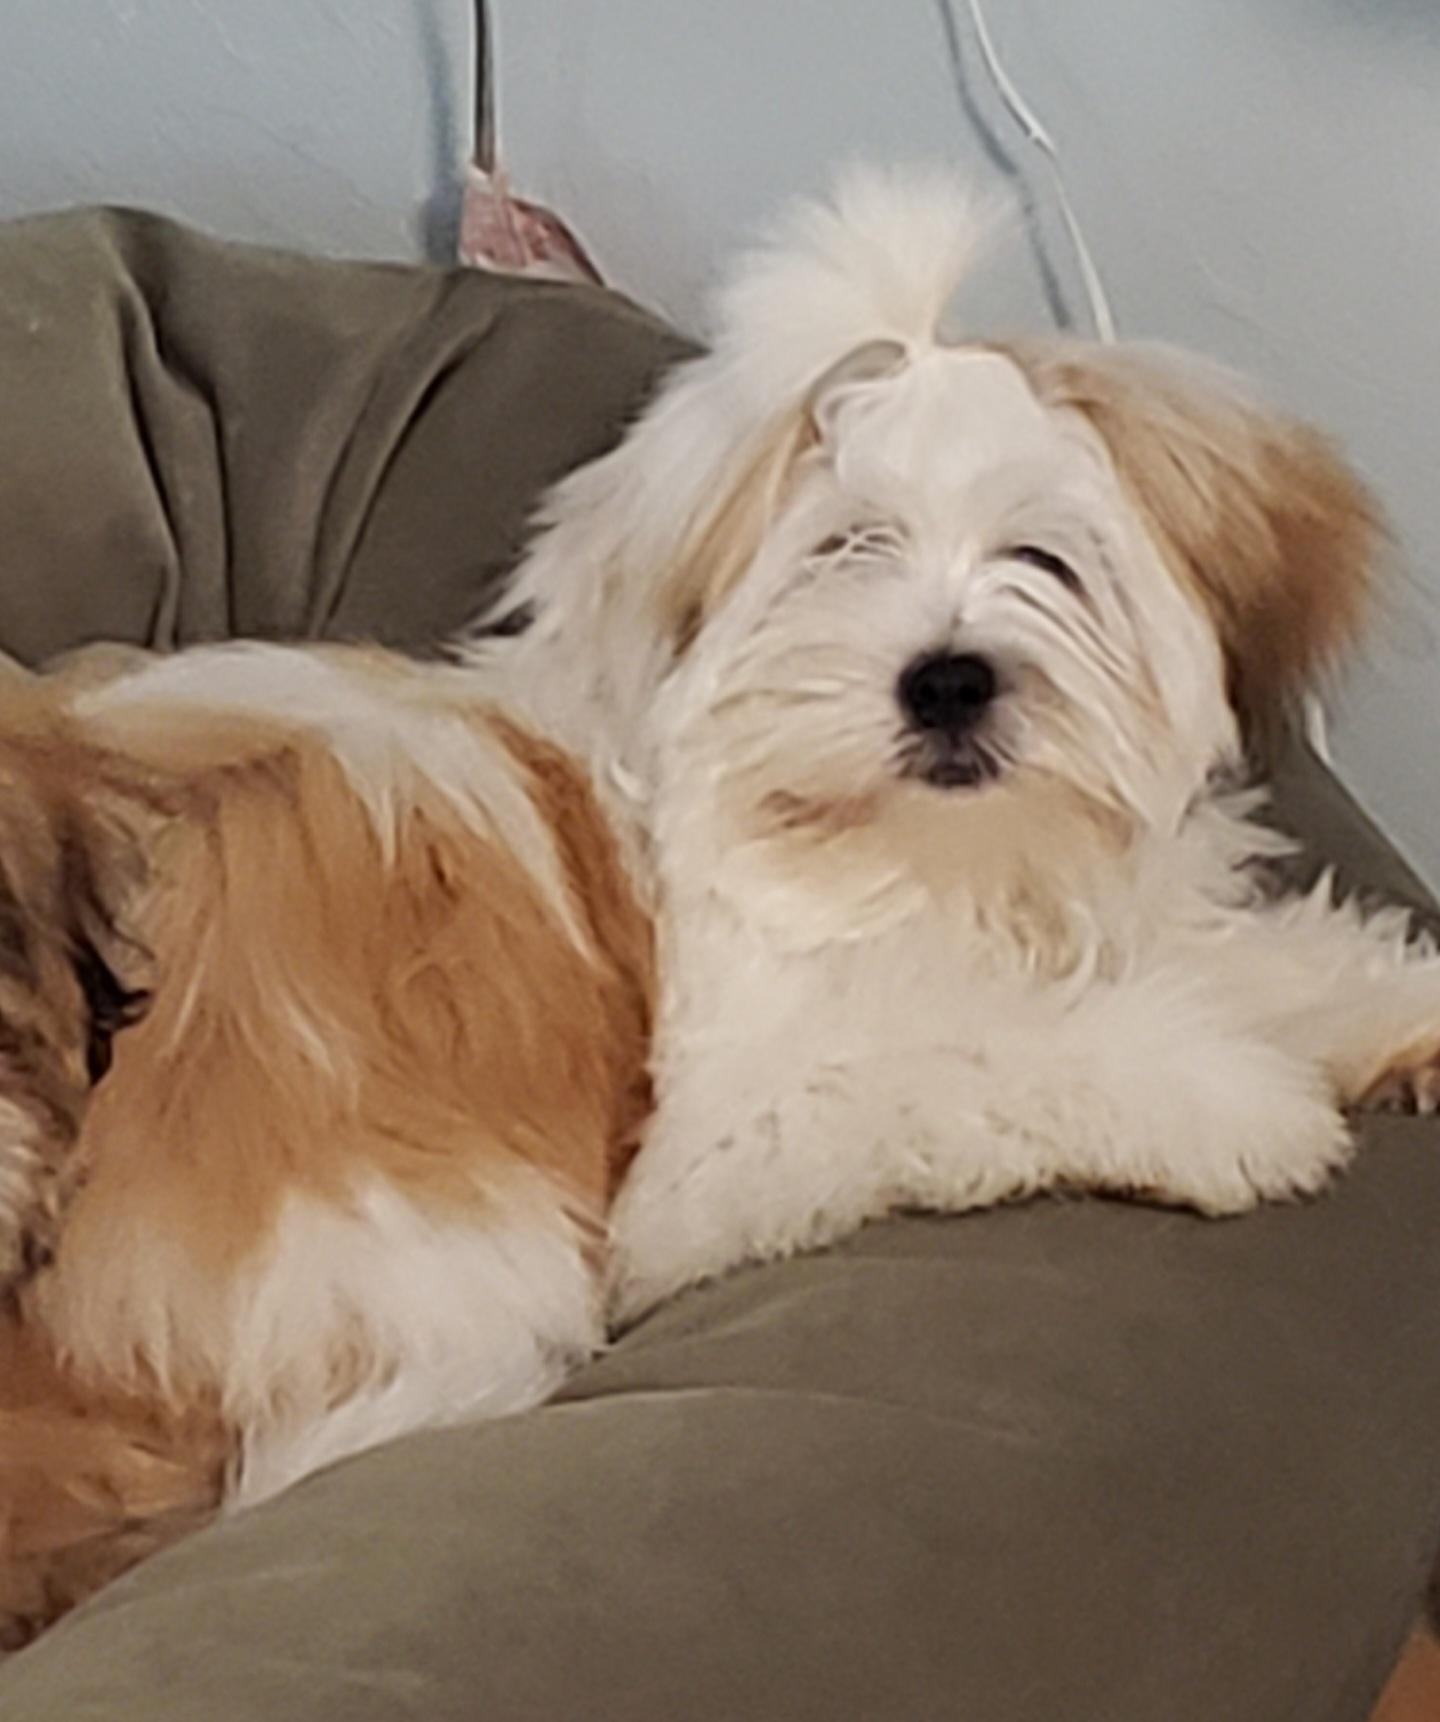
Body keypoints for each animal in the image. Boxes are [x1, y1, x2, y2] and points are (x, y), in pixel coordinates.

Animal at [3, 167, 1439, 1644]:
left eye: (1045, 558)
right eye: (844, 550)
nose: (949, 677)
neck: (922, 859)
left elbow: (1227, 956)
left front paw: (1386, 1002)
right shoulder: (722, 1140)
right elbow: (983, 1054)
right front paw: (1235, 1104)